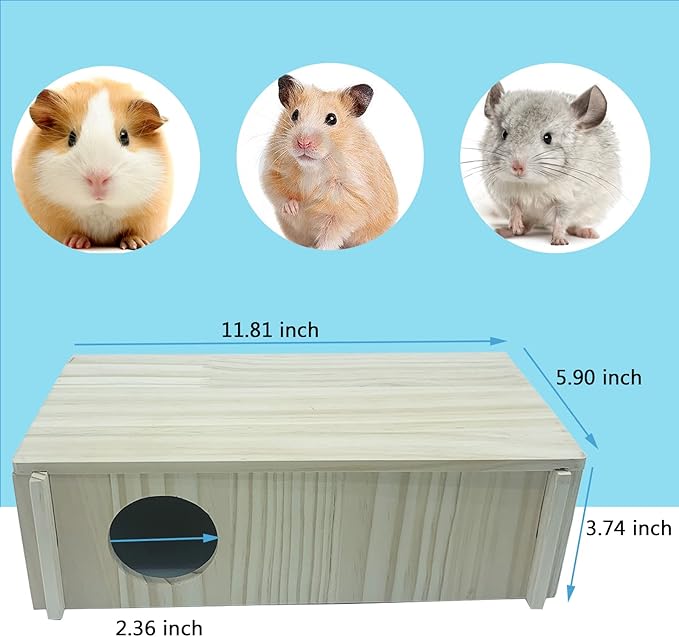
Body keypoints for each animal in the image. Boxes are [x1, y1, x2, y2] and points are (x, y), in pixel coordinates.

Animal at [14, 78, 172, 250]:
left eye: (125, 137)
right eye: (71, 138)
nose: (97, 179)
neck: (100, 208)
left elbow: (134, 232)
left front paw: (136, 244)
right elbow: (71, 232)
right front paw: (76, 243)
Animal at [262, 75, 398, 250]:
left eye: (332, 119)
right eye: (294, 115)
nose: (303, 143)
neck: (313, 167)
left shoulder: (349, 201)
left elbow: (332, 232)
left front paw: (322, 248)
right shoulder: (273, 170)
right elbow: (279, 193)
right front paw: (293, 209)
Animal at [481, 82, 621, 245]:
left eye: (548, 138)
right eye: (504, 134)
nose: (517, 167)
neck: (531, 183)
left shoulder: (568, 199)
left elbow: (561, 219)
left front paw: (559, 240)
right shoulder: (504, 191)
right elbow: (514, 206)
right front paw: (515, 224)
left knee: (572, 225)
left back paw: (586, 232)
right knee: (528, 226)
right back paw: (508, 231)